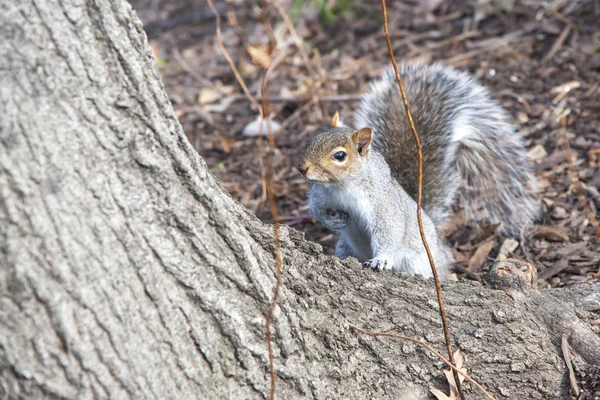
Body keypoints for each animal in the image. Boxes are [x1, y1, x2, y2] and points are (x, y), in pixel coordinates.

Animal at [298, 64, 540, 280]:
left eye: (340, 156)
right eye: (313, 140)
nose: (302, 168)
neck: (342, 186)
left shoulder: (383, 205)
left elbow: (391, 231)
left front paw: (381, 259)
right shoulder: (321, 194)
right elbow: (316, 208)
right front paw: (332, 221)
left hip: (421, 260)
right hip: (345, 248)